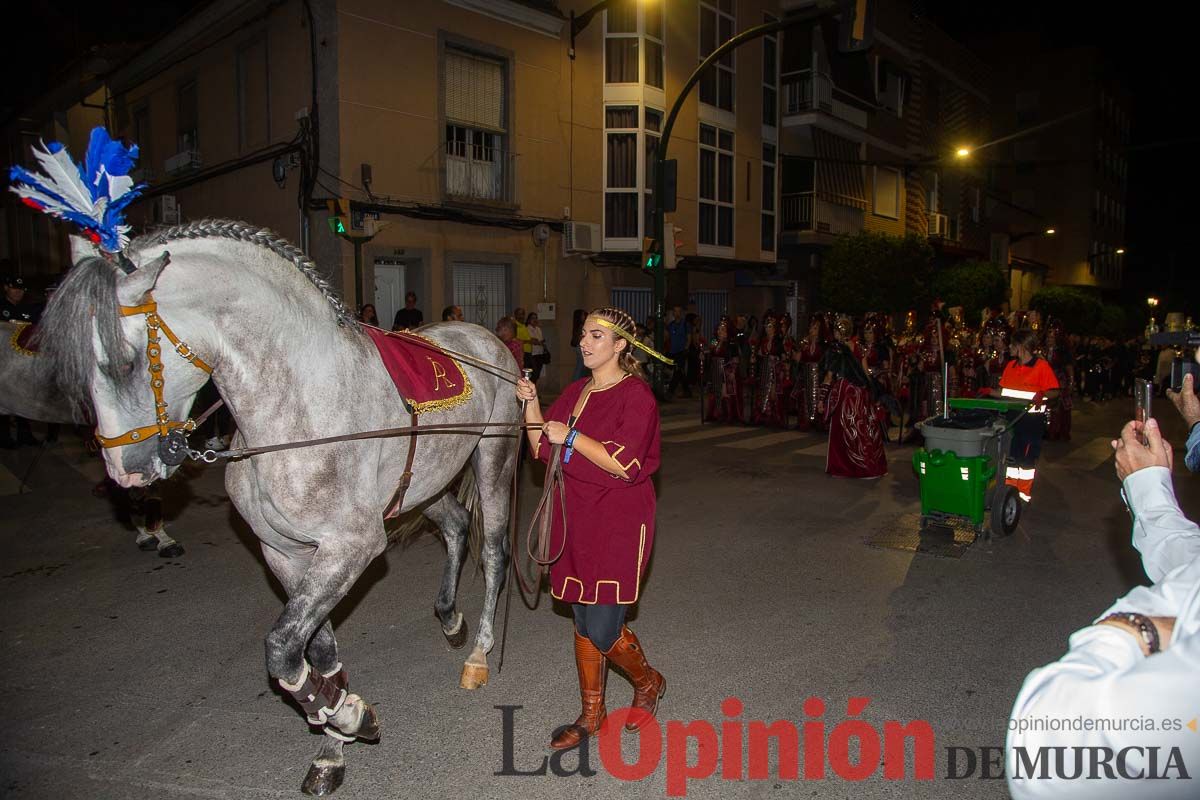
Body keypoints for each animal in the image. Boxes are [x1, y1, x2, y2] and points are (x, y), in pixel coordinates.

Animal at [41, 221, 520, 796]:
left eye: (126, 362)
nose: (125, 472)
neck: (298, 403)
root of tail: (486, 337)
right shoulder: (285, 552)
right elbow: (317, 650)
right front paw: (336, 738)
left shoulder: (351, 547)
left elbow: (281, 646)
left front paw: (351, 718)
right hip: (424, 484)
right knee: (455, 525)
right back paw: (449, 618)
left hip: (494, 459)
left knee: (493, 552)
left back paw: (479, 653)